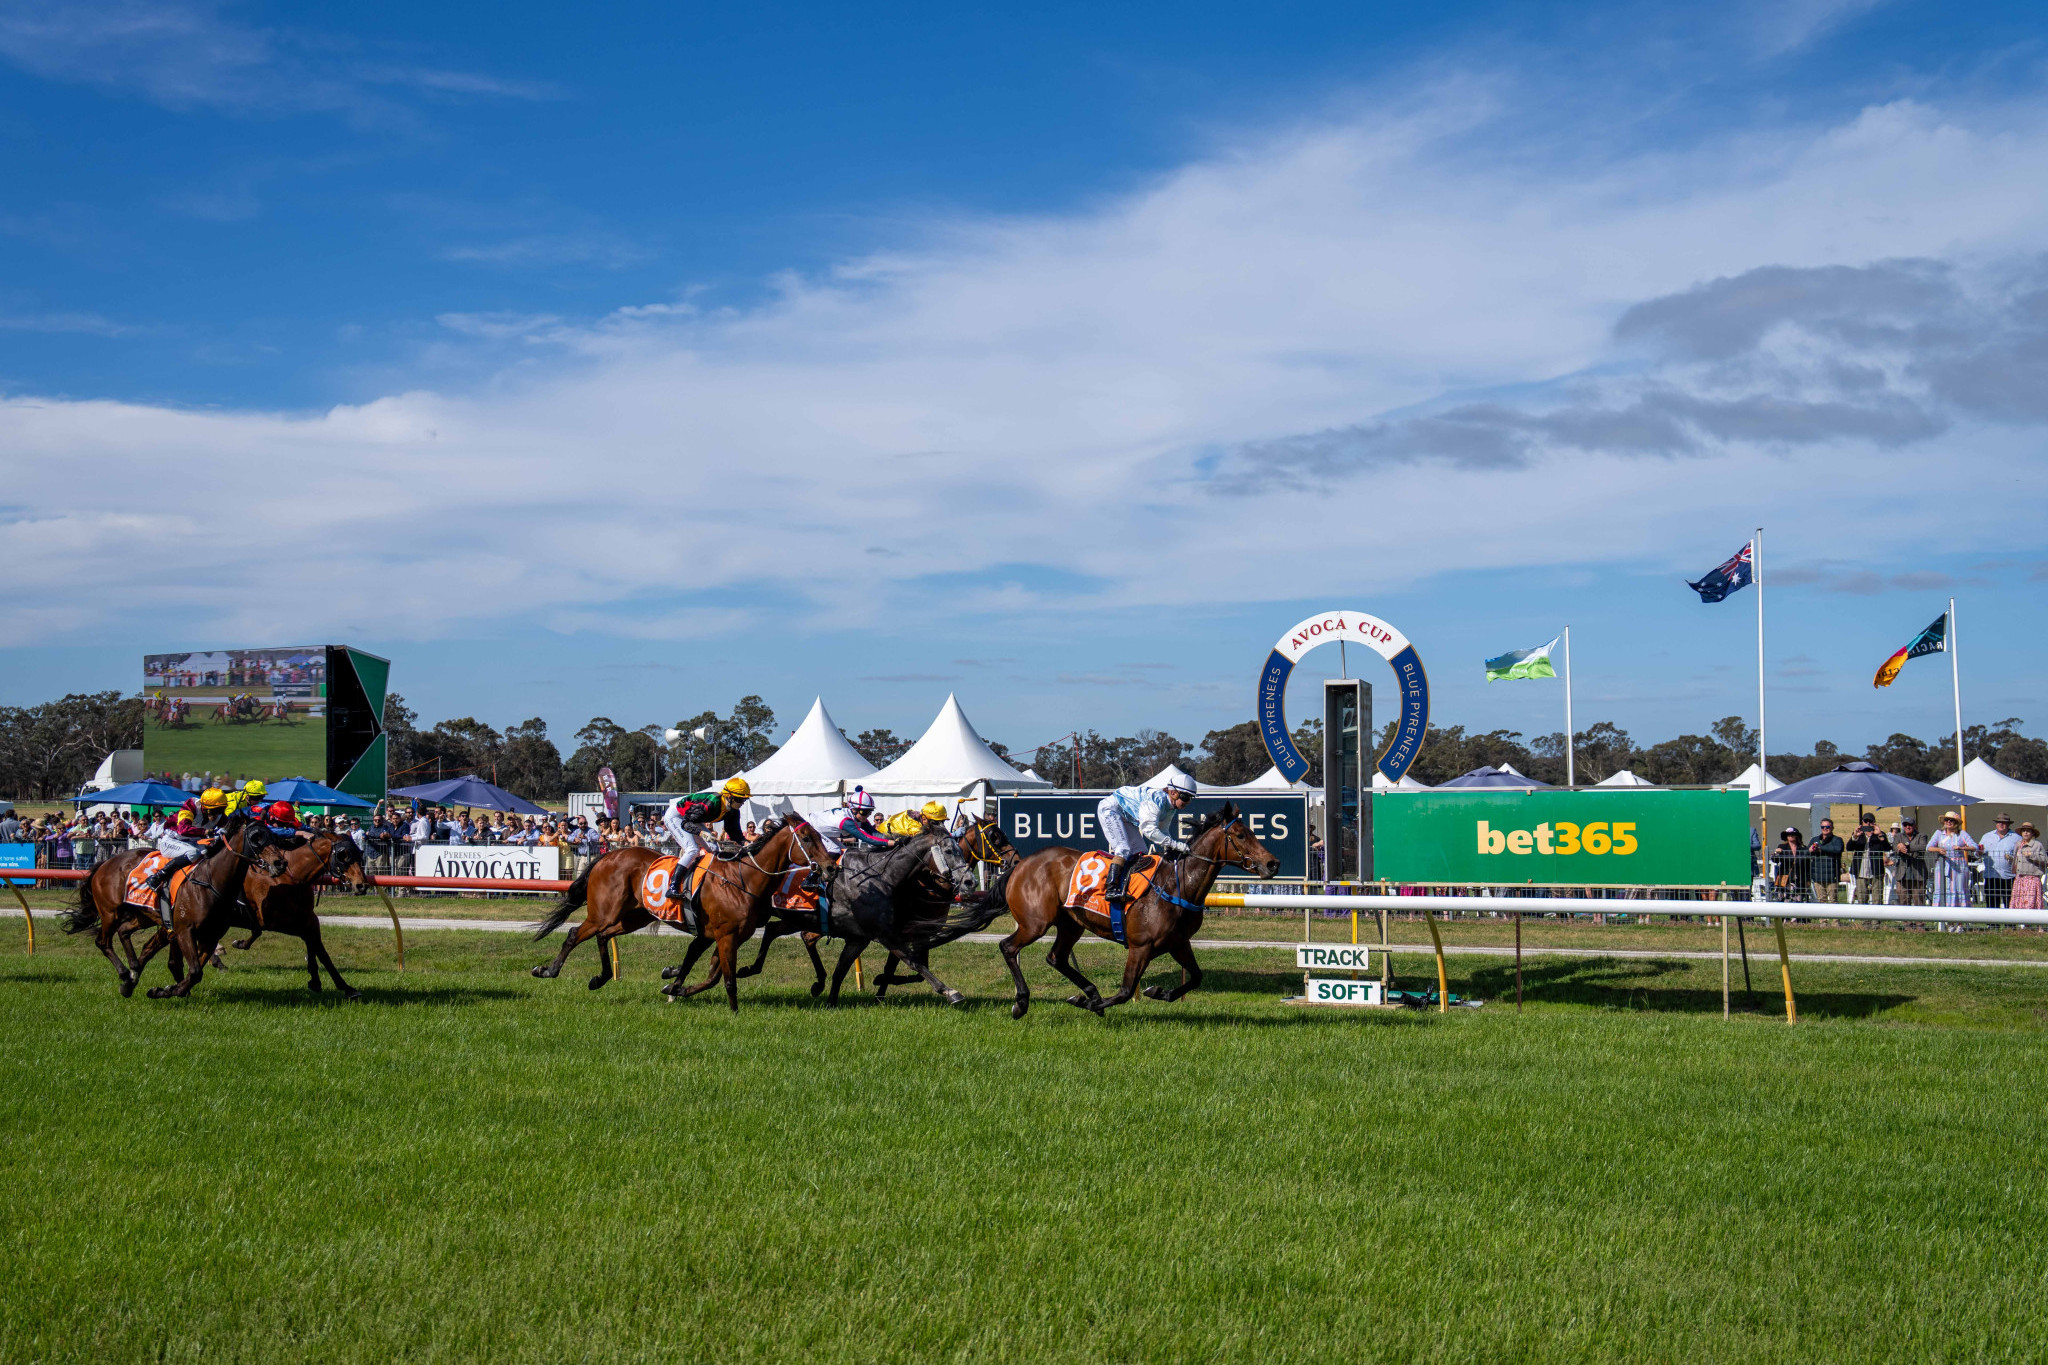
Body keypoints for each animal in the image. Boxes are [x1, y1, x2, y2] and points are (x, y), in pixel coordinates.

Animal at [540, 810, 843, 1015]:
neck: (742, 879)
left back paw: (599, 978)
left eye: (820, 836)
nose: (832, 867)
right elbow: (726, 978)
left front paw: (675, 987)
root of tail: (607, 855)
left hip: (634, 917)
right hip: (603, 913)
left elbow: (706, 971)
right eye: (807, 838)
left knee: (603, 935)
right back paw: (548, 970)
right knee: (575, 933)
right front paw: (734, 1012)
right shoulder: (725, 936)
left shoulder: (722, 936)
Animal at [991, 806, 1277, 1019]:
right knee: (1009, 947)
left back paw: (1090, 992)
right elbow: (1126, 991)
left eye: (1252, 832)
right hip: (1035, 923)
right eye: (1240, 835)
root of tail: (1020, 864)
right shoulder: (1141, 946)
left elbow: (1196, 976)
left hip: (1071, 924)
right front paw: (1088, 1003)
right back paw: (1022, 1002)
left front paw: (1158, 992)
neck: (1177, 885)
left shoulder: (1178, 943)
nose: (1273, 863)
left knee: (1056, 958)